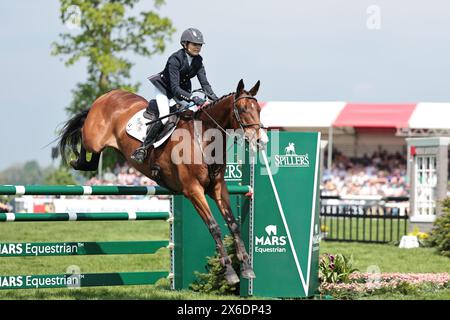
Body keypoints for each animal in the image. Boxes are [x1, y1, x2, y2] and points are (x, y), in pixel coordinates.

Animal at [58, 79, 266, 284]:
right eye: (243, 109)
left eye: (258, 109)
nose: (259, 141)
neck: (203, 141)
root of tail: (107, 95)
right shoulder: (193, 190)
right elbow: (214, 227)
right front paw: (230, 272)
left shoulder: (217, 188)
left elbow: (233, 225)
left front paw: (247, 268)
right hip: (94, 139)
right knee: (84, 136)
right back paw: (77, 160)